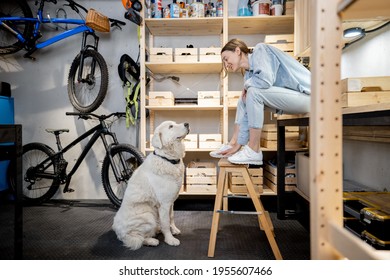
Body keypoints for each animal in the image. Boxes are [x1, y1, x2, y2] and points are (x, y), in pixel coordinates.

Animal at [112, 120, 190, 249]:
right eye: (171, 126)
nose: (187, 124)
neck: (168, 159)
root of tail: (118, 233)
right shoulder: (164, 204)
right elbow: (165, 223)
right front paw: (170, 239)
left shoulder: (171, 201)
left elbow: (171, 217)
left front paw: (174, 230)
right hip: (148, 215)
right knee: (137, 238)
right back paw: (152, 241)